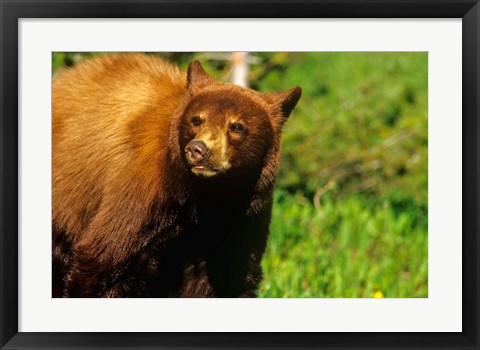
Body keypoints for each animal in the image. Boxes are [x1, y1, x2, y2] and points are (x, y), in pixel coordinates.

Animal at [51, 53, 300, 296]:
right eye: (197, 119)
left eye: (237, 126)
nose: (198, 149)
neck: (207, 196)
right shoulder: (143, 191)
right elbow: (104, 258)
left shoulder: (244, 214)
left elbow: (230, 277)